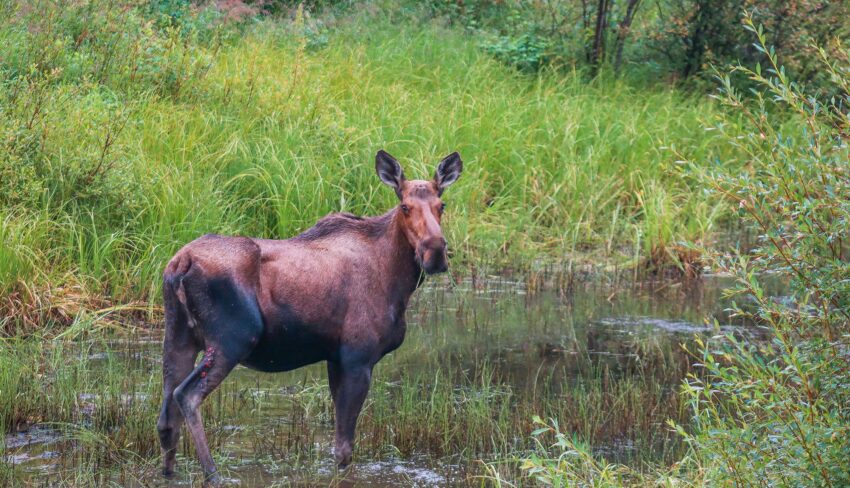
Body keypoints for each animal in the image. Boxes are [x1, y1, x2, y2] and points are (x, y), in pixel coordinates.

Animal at [156, 151, 460, 482]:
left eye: (442, 205)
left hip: (178, 337)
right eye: (405, 206)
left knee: (166, 418)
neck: (398, 279)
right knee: (186, 396)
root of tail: (180, 264)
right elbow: (343, 449)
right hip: (233, 338)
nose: (435, 252)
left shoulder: (335, 357)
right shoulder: (357, 357)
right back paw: (213, 473)